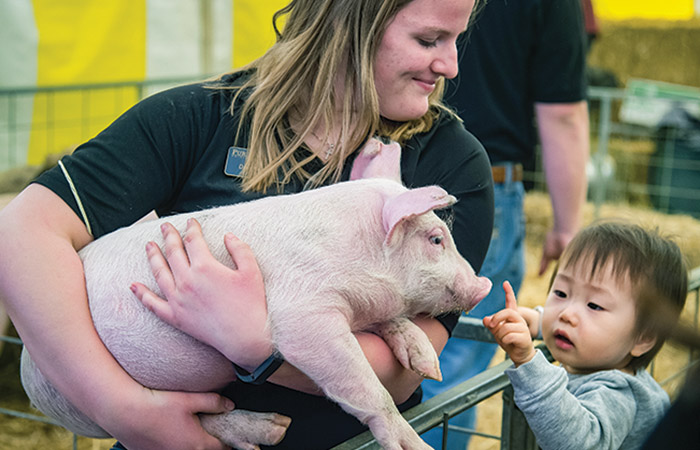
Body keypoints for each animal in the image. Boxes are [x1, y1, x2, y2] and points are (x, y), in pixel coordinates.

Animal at [20, 139, 492, 448]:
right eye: (436, 239)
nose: (483, 284)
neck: (356, 255)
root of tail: (26, 369)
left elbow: (394, 321)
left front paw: (428, 366)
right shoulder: (303, 315)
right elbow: (365, 386)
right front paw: (415, 446)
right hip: (93, 400)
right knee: (190, 417)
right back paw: (274, 429)